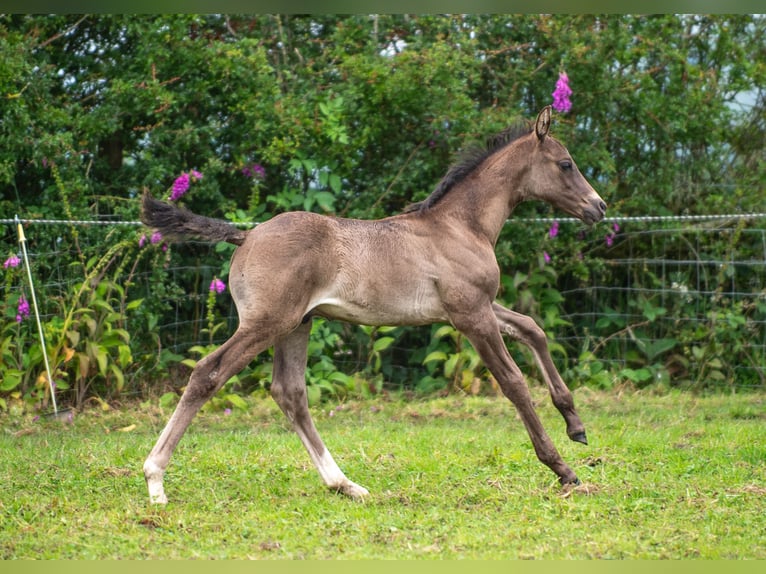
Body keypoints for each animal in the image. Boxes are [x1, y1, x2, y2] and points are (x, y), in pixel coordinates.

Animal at [138, 107, 608, 504]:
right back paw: (155, 480)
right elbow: (513, 383)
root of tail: (247, 234)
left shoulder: (477, 307)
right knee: (208, 373)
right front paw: (562, 469)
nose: (598, 207)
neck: (460, 226)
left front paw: (576, 425)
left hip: (297, 324)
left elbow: (533, 328)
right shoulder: (471, 315)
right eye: (566, 164)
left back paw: (345, 484)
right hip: (266, 323)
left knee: (290, 393)